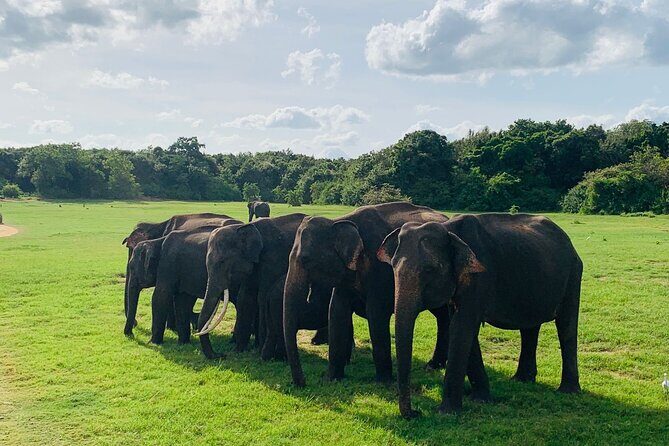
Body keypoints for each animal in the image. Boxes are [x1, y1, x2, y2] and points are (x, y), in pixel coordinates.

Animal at [195, 213, 330, 360]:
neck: (244, 228)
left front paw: (258, 352)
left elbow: (262, 297)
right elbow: (245, 298)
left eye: (222, 262)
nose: (221, 355)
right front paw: (239, 350)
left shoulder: (273, 261)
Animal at [283, 202, 450, 387]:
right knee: (442, 315)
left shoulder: (379, 269)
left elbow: (376, 315)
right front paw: (332, 379)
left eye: (305, 259)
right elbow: (337, 312)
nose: (303, 383)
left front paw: (383, 383)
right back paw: (435, 365)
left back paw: (433, 365)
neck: (339, 221)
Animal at [377, 213, 583, 417]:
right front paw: (480, 399)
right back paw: (521, 380)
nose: (416, 412)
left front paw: (447, 412)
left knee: (566, 325)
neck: (448, 228)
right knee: (530, 327)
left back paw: (567, 391)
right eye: (393, 267)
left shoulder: (479, 276)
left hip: (573, 274)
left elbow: (462, 326)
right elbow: (461, 326)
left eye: (429, 270)